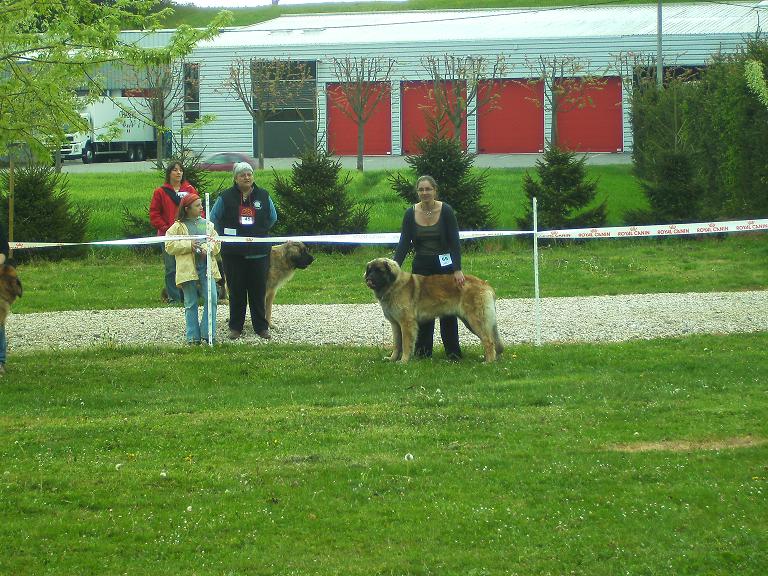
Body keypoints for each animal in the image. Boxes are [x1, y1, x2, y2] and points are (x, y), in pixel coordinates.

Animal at [366, 258, 504, 362]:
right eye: (370, 270)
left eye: (379, 271)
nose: (369, 279)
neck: (393, 286)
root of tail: (486, 285)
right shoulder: (395, 324)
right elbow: (397, 344)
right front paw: (392, 359)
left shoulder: (406, 323)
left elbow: (405, 343)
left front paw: (404, 361)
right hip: (471, 322)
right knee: (492, 340)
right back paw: (493, 359)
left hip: (475, 320)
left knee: (489, 341)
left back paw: (488, 362)